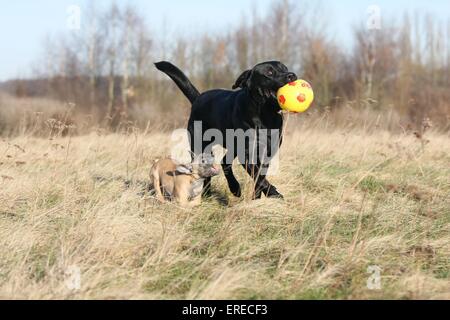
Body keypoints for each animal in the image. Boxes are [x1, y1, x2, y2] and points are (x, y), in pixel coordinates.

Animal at [156, 61, 298, 199]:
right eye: (269, 72)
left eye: (285, 68)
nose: (292, 75)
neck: (265, 114)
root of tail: (198, 98)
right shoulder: (246, 153)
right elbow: (258, 176)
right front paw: (274, 193)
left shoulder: (267, 152)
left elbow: (260, 177)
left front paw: (257, 198)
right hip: (201, 146)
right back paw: (212, 193)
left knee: (224, 163)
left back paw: (233, 188)